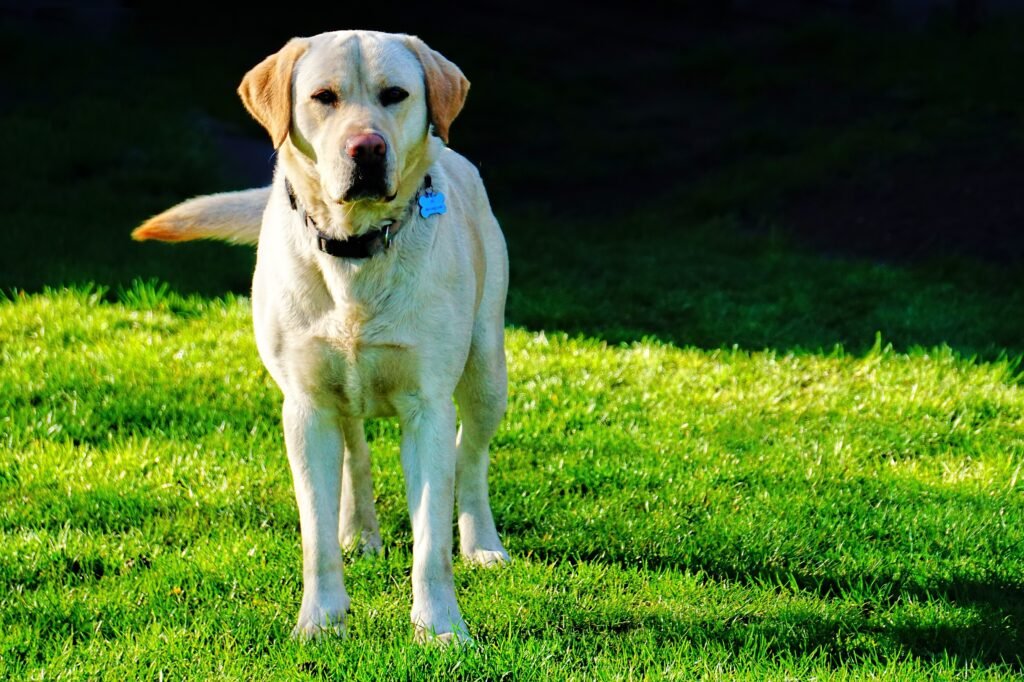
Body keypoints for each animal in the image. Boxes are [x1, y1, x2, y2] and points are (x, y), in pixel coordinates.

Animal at [132, 29, 512, 643]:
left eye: (395, 94)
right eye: (323, 97)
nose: (367, 149)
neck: (355, 250)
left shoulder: (427, 406)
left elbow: (431, 540)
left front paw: (440, 628)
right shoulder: (306, 407)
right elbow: (315, 536)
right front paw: (321, 622)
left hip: (486, 370)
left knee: (470, 456)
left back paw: (482, 543)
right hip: (338, 392)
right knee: (355, 450)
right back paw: (358, 531)